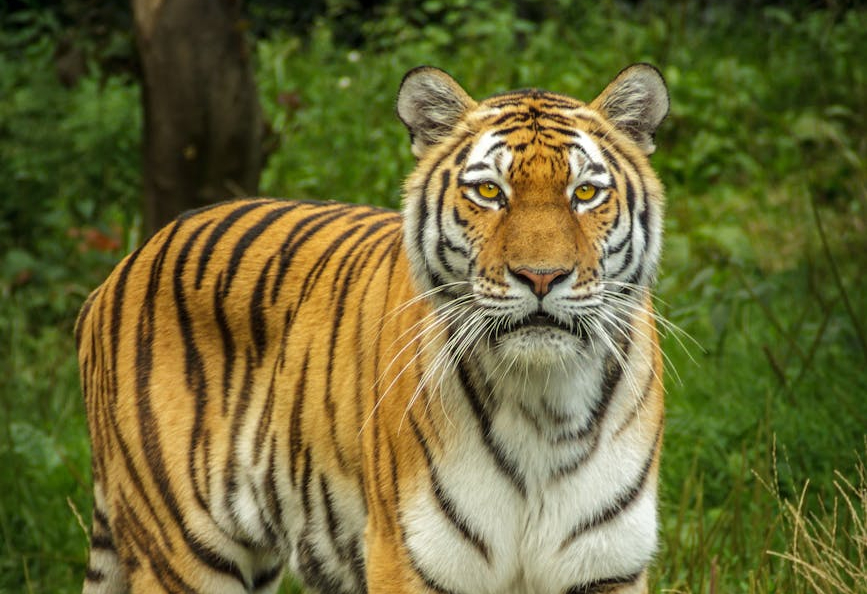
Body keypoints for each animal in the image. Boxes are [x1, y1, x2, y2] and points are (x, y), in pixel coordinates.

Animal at [75, 63, 669, 594]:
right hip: (183, 551)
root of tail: (126, 263)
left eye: (585, 194)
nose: (541, 276)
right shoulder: (410, 558)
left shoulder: (606, 565)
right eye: (489, 193)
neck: (545, 406)